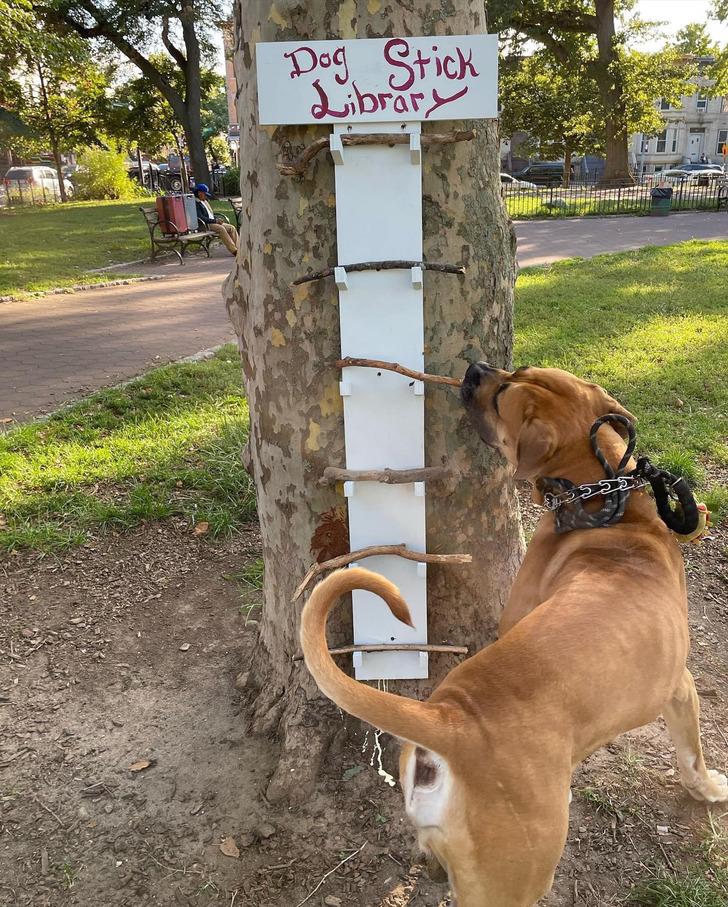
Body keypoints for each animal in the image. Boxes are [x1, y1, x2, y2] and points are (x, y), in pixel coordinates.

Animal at [298, 366, 724, 904]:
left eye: (506, 389)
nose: (475, 368)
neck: (607, 504)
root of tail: (448, 718)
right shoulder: (681, 687)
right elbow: (692, 754)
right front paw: (709, 789)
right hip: (517, 874)